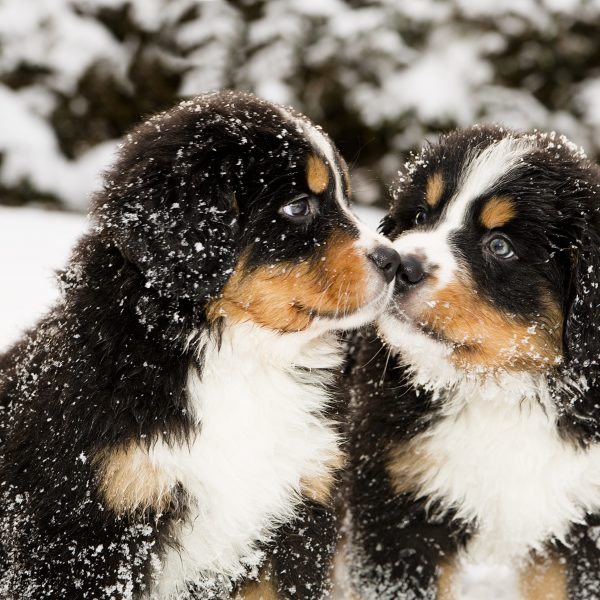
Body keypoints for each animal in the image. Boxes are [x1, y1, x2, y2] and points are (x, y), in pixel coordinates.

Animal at [1, 90, 404, 600]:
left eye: (346, 198)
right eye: (298, 207)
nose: (395, 261)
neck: (241, 358)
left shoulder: (298, 516)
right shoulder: (89, 528)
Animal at [344, 125, 600, 600]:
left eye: (499, 246)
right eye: (421, 215)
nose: (401, 264)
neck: (499, 390)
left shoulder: (581, 524)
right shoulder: (400, 512)